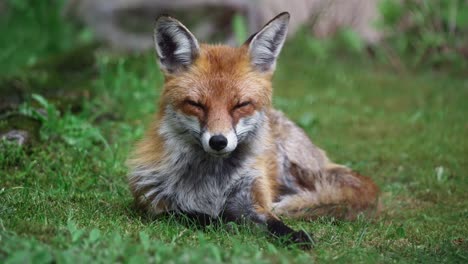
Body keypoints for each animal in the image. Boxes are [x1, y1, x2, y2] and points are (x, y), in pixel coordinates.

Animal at [128, 12, 380, 248]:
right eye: (196, 105)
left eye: (241, 105)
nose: (218, 141)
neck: (213, 182)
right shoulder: (154, 204)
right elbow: (198, 216)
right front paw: (223, 222)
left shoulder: (253, 199)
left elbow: (275, 223)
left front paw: (295, 236)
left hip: (296, 168)